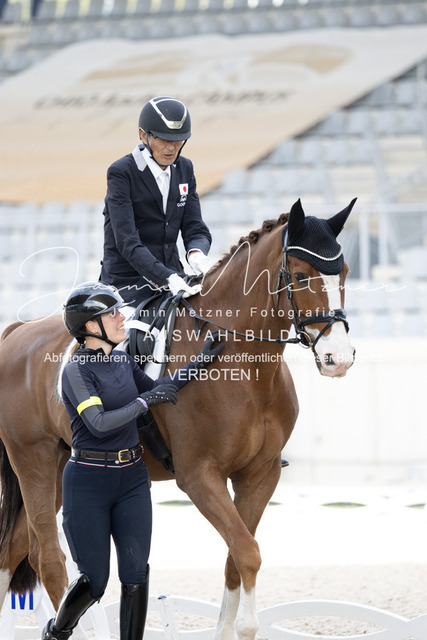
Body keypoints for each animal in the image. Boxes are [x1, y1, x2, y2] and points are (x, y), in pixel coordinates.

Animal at [0, 197, 356, 640]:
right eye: (303, 276)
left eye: (343, 272)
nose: (339, 358)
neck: (242, 363)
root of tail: (18, 330)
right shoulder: (199, 475)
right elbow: (247, 552)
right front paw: (246, 626)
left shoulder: (260, 473)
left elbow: (236, 556)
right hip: (34, 459)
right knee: (49, 559)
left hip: (63, 467)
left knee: (14, 549)